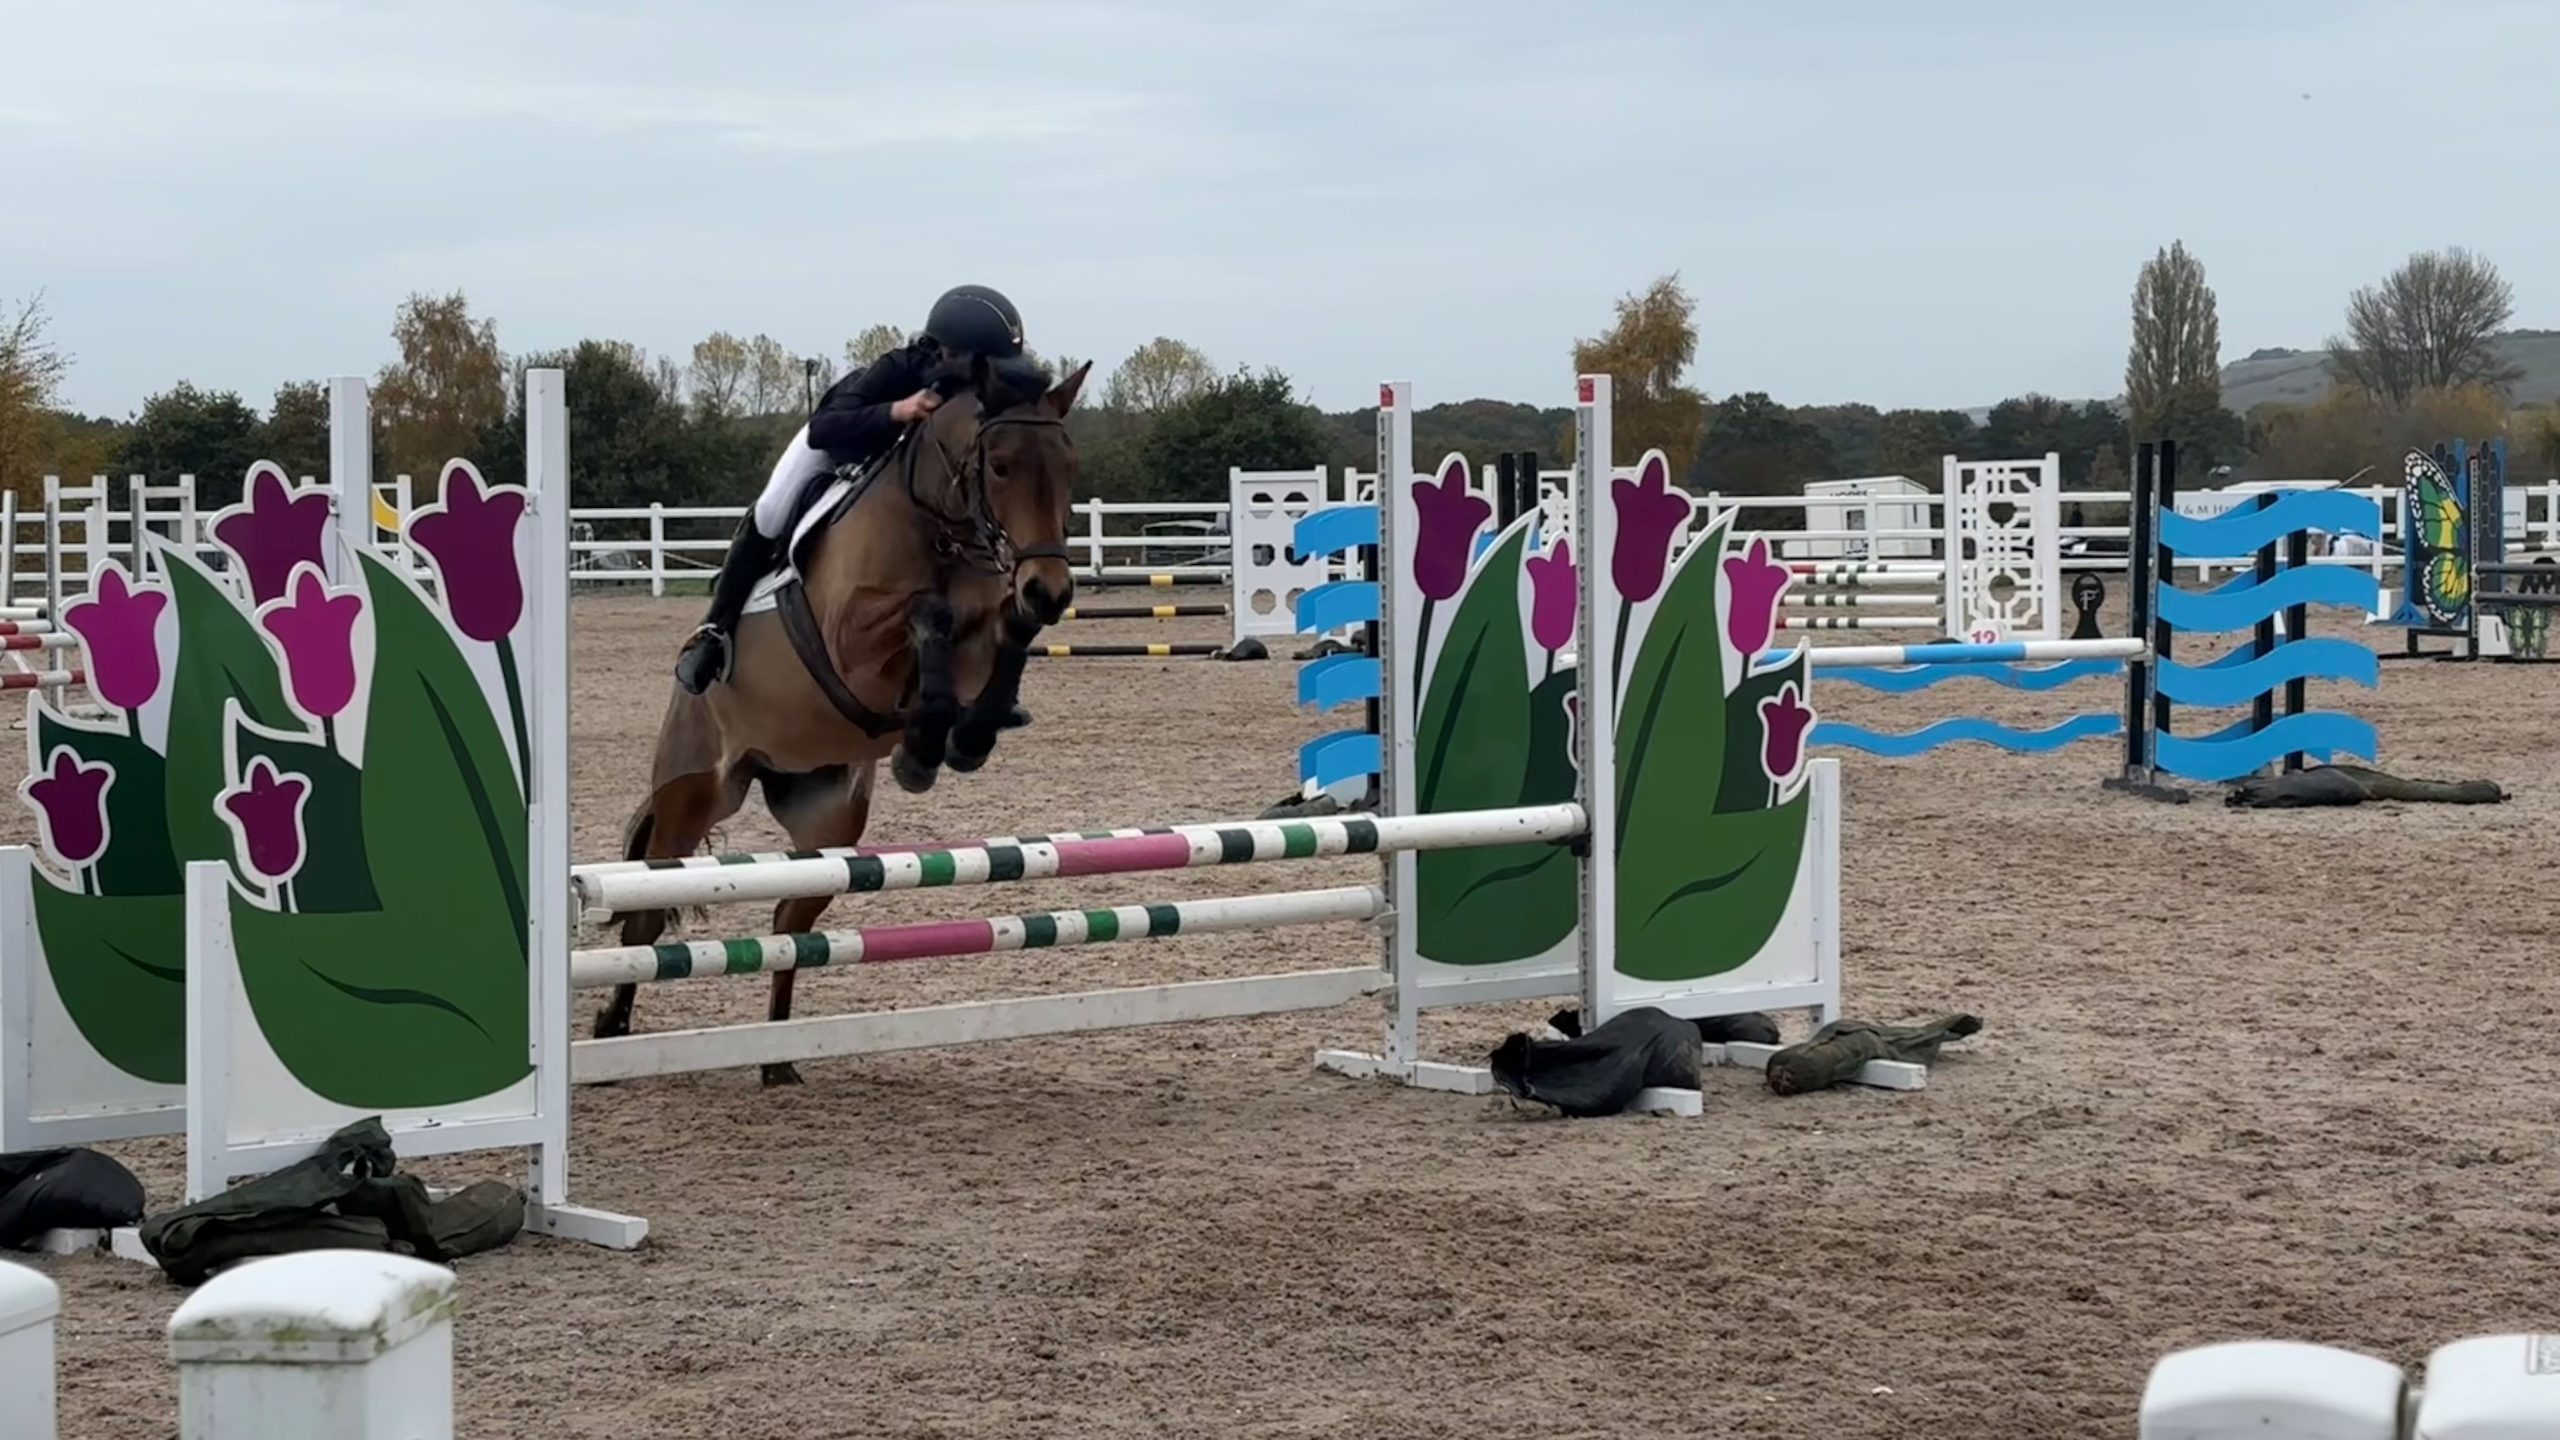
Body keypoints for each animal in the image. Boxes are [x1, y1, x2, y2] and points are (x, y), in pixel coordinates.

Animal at [593, 355, 1091, 1083]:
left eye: (1068, 465)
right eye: (999, 466)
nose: (1051, 591)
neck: (936, 523)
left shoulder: (984, 632)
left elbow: (1004, 631)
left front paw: (964, 736)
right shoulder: (850, 640)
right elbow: (929, 614)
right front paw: (924, 746)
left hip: (827, 821)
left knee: (788, 925)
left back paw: (776, 1060)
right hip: (693, 795)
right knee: (646, 922)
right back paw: (613, 1030)